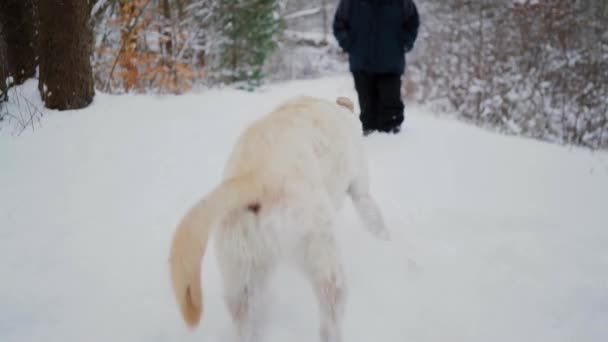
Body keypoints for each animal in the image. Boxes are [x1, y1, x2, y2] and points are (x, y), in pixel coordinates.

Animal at [169, 95, 388, 342]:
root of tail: (254, 178)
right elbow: (373, 217)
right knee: (329, 316)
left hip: (243, 275)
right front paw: (385, 243)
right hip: (322, 258)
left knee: (245, 319)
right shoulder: (360, 190)